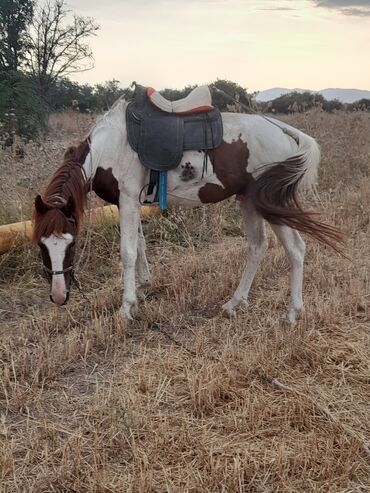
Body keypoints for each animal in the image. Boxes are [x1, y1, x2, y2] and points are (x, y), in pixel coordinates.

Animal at [31, 93, 342, 322]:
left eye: (71, 244)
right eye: (41, 245)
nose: (58, 296)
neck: (109, 147)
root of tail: (284, 130)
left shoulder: (128, 200)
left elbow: (128, 252)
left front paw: (126, 308)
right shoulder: (129, 203)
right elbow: (140, 245)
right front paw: (143, 288)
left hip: (271, 204)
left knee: (296, 250)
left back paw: (292, 313)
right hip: (249, 201)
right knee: (257, 247)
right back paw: (234, 303)